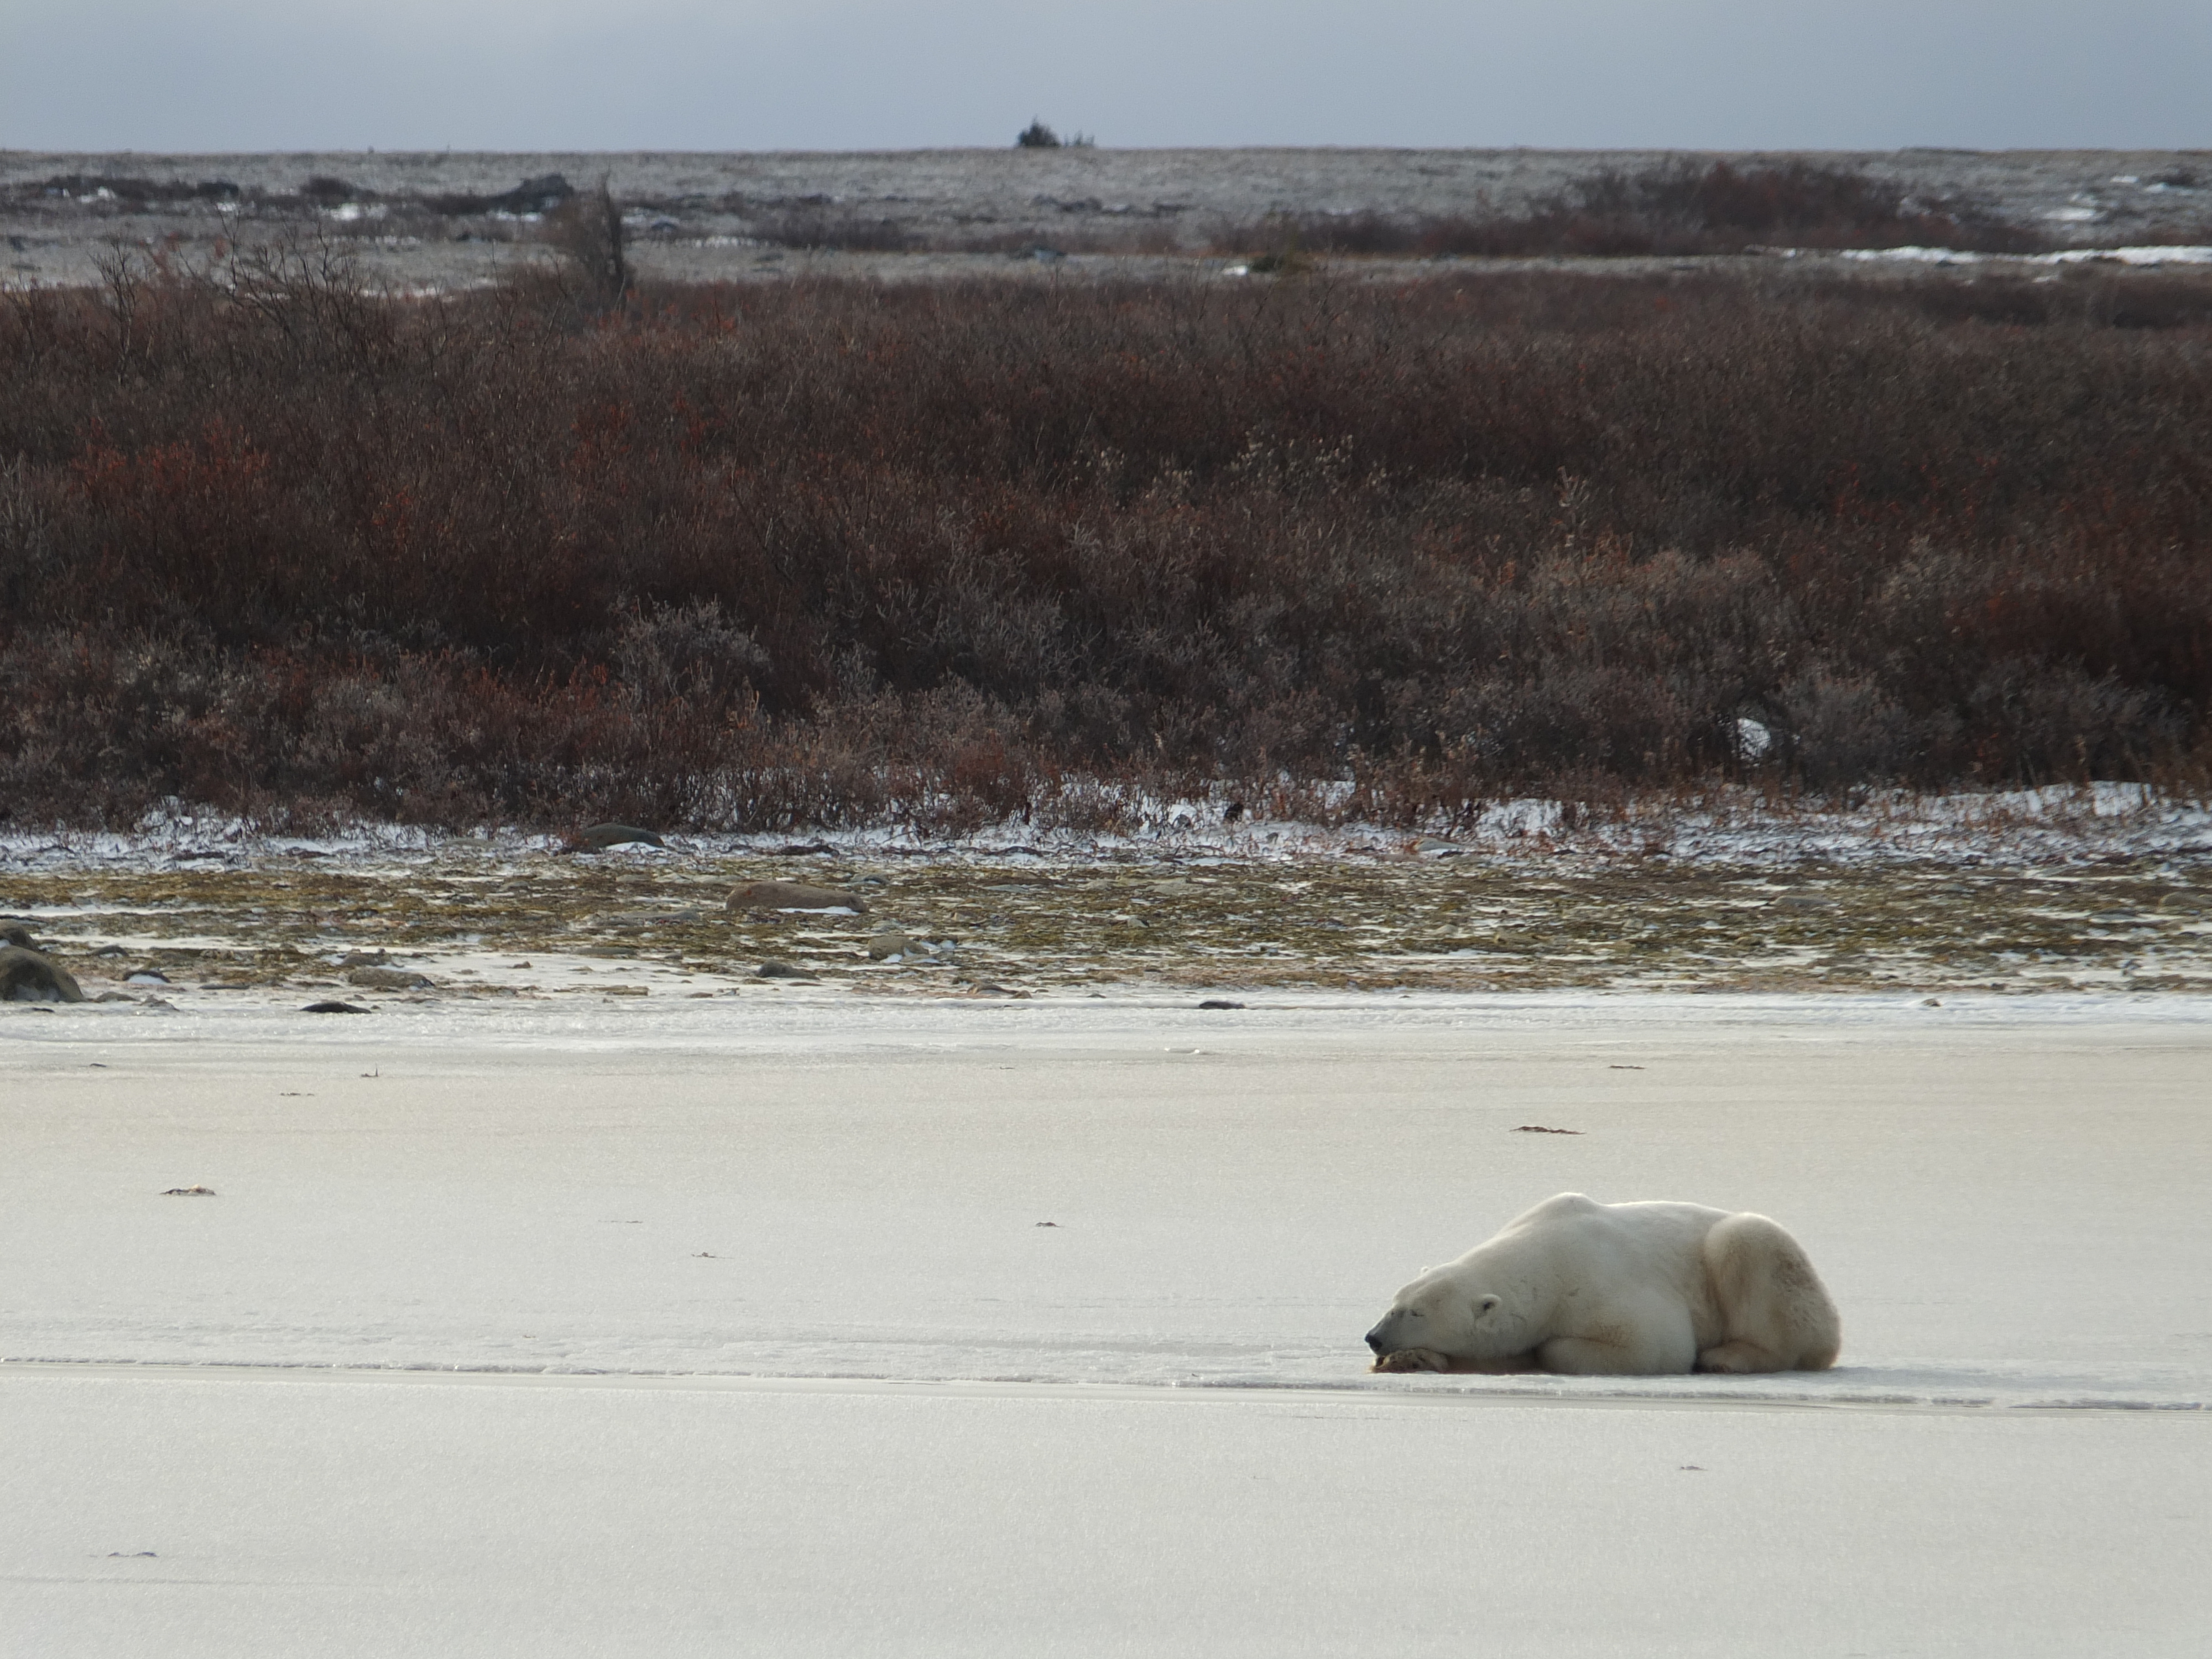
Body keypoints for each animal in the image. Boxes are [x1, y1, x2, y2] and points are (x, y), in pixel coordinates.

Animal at [1364, 1193, 1840, 1376]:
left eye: (1417, 1313)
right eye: (1394, 1303)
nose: (1373, 1338)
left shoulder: (1600, 1284)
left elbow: (1652, 1346)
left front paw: (1545, 1351)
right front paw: (1413, 1360)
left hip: (1767, 1264)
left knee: (1748, 1245)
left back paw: (1725, 1358)